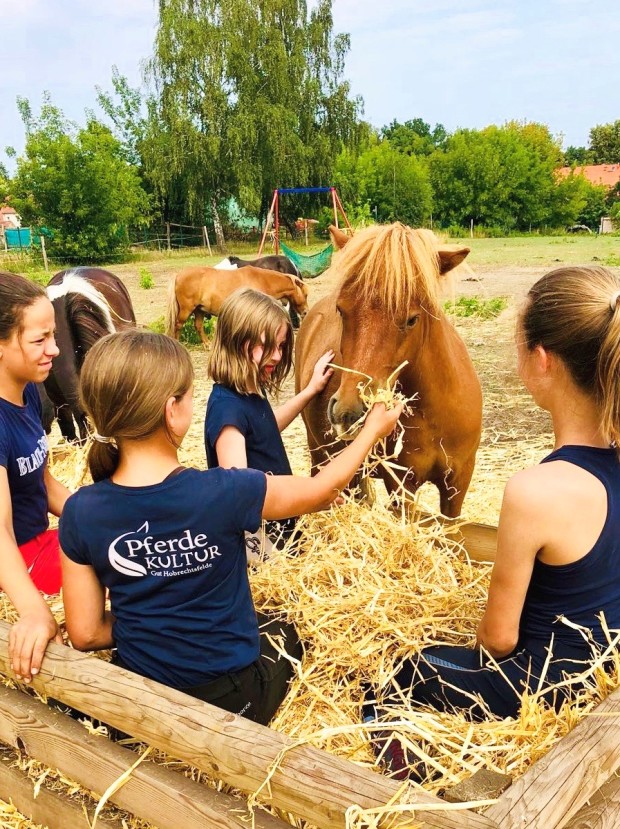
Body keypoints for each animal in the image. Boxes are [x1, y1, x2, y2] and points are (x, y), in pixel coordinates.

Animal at [166, 266, 308, 342]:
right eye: (305, 295)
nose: (306, 312)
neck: (262, 280)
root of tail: (179, 275)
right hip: (186, 309)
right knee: (178, 325)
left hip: (199, 310)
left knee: (198, 326)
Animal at [296, 223, 484, 516]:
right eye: (341, 310)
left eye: (412, 319)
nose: (347, 413)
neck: (434, 414)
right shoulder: (401, 485)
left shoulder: (458, 484)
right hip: (319, 454)